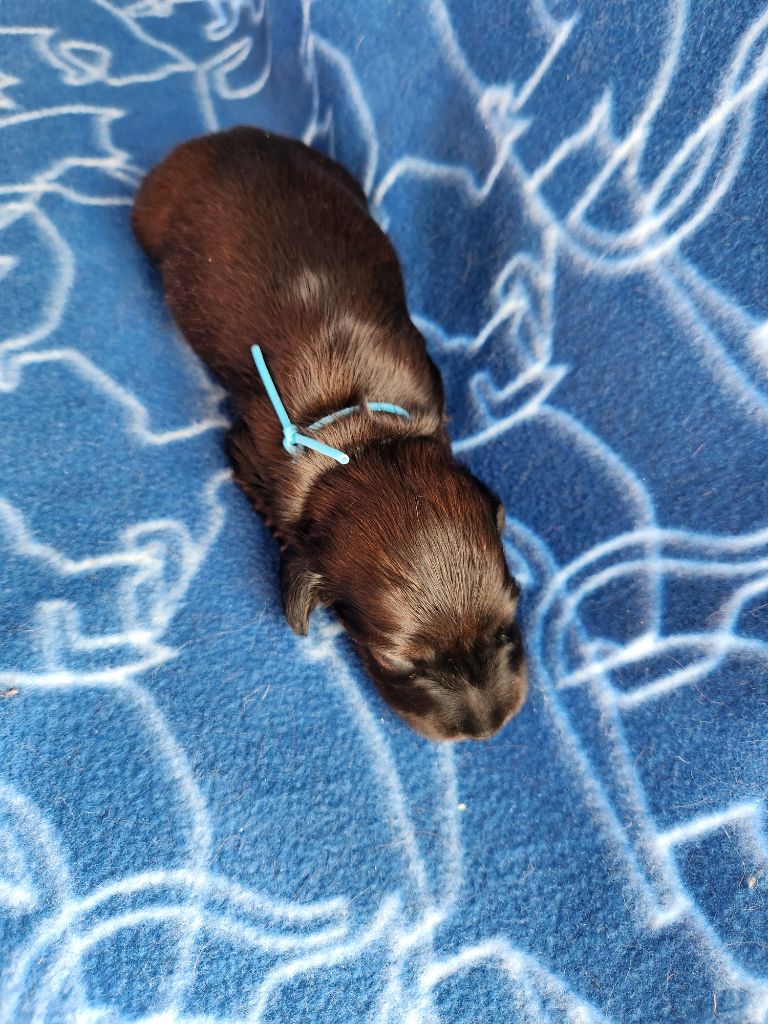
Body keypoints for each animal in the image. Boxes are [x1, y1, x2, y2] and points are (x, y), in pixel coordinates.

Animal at [131, 126, 527, 740]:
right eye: (398, 663)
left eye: (511, 618)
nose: (488, 728)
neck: (364, 442)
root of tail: (220, 136)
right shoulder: (247, 449)